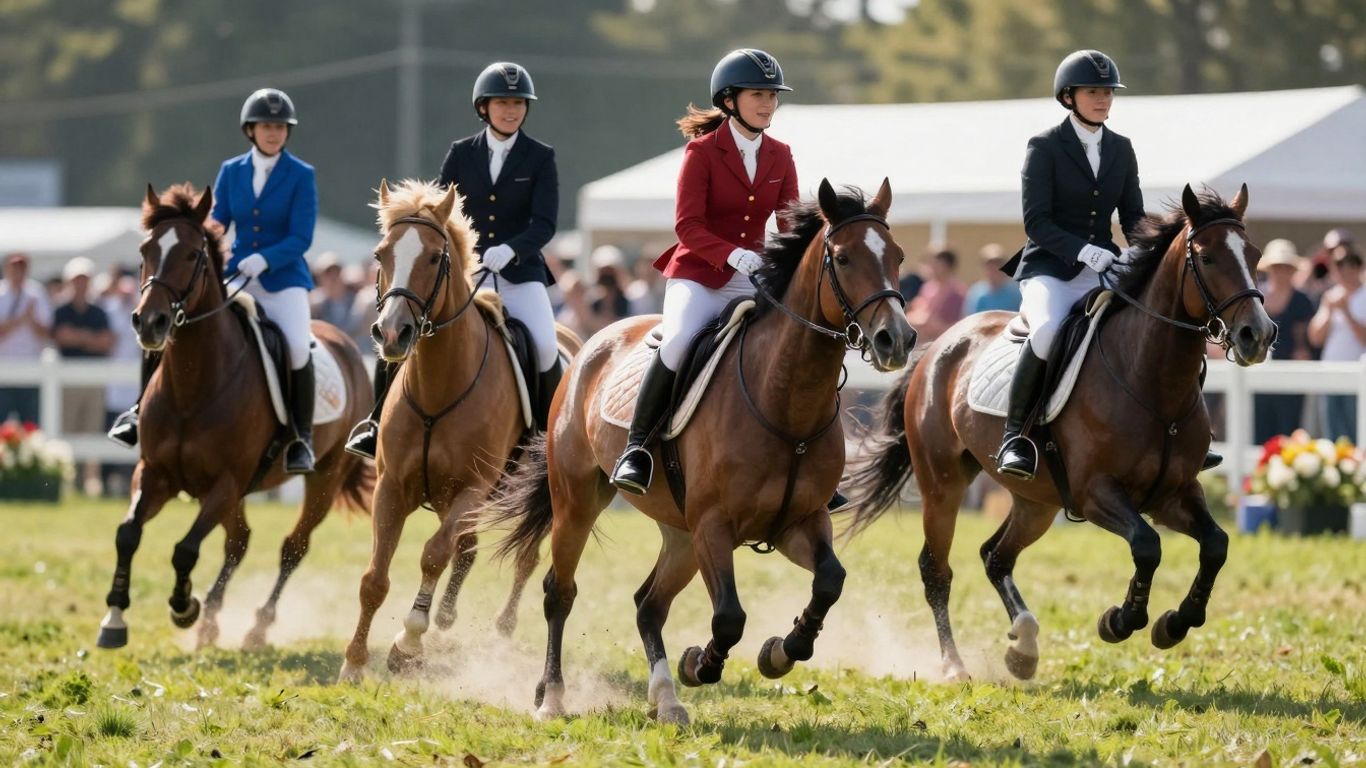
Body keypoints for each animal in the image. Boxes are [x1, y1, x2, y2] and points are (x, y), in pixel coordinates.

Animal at [96, 183, 375, 651]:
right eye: (145, 250)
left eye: (192, 254)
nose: (149, 323)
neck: (193, 386)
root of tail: (347, 345)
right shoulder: (155, 472)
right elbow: (126, 533)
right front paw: (114, 619)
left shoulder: (225, 482)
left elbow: (185, 549)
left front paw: (183, 607)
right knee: (239, 542)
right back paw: (211, 621)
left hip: (324, 478)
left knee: (293, 546)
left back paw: (255, 627)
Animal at [338, 179, 582, 682]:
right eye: (380, 254)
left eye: (435, 257)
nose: (392, 334)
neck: (439, 383)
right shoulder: (391, 487)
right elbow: (374, 578)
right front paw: (353, 662)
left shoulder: (472, 486)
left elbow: (433, 553)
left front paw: (408, 641)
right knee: (466, 549)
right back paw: (446, 619)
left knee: (522, 557)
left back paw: (500, 628)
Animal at [486, 179, 916, 724]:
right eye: (841, 258)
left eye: (898, 255)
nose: (896, 340)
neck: (787, 400)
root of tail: (591, 344)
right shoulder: (715, 525)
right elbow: (729, 616)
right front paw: (702, 663)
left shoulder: (800, 521)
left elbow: (829, 582)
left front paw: (781, 651)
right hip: (580, 502)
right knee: (559, 593)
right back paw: (554, 696)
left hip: (681, 534)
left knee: (648, 604)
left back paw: (665, 697)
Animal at [842, 184, 1277, 681]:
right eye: (1206, 258)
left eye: (1254, 254)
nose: (1258, 335)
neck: (1153, 381)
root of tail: (937, 345)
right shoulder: (1096, 494)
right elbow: (1147, 546)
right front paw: (1120, 621)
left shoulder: (1175, 493)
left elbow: (1216, 546)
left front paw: (1175, 623)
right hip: (942, 485)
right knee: (937, 569)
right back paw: (955, 666)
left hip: (1037, 501)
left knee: (996, 556)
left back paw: (1024, 649)